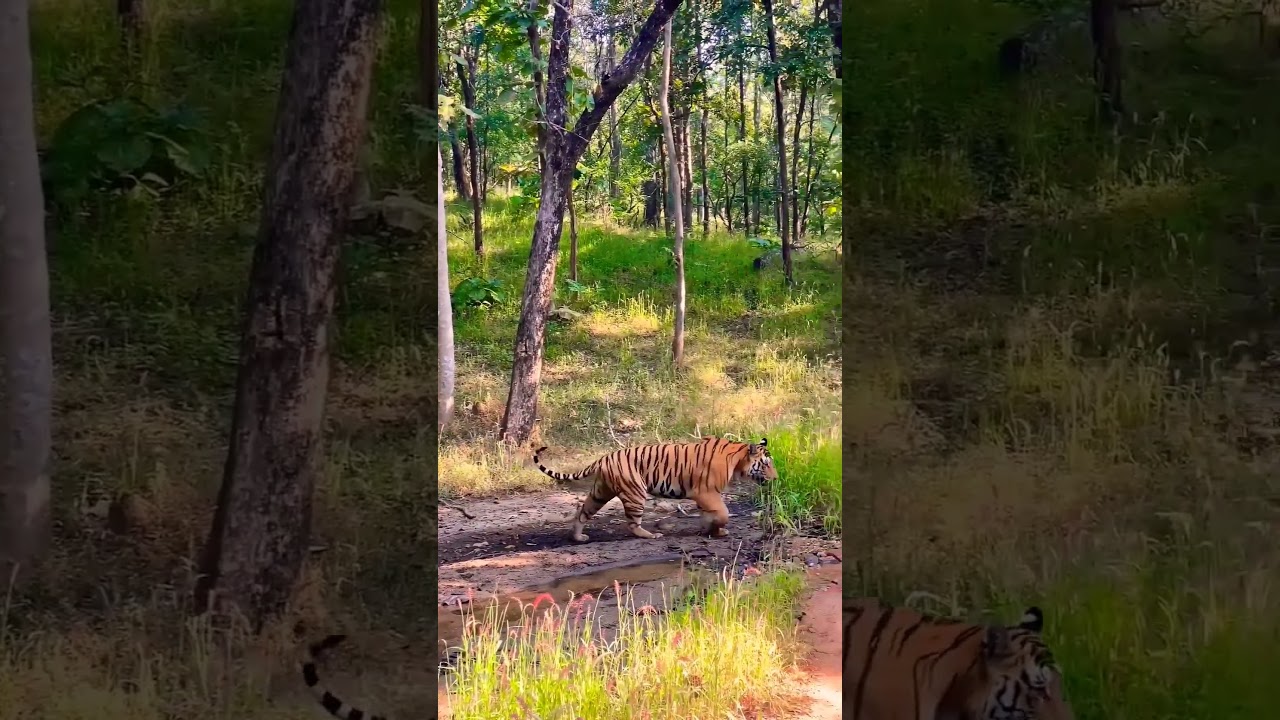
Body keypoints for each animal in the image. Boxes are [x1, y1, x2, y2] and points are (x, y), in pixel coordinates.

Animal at [533, 436, 777, 542]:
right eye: (766, 464)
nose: (776, 478)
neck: (737, 461)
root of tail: (604, 458)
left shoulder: (705, 497)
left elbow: (710, 516)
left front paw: (712, 531)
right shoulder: (706, 492)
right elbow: (723, 513)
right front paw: (717, 529)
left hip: (601, 492)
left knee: (583, 512)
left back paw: (578, 537)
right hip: (635, 492)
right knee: (632, 523)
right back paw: (651, 535)